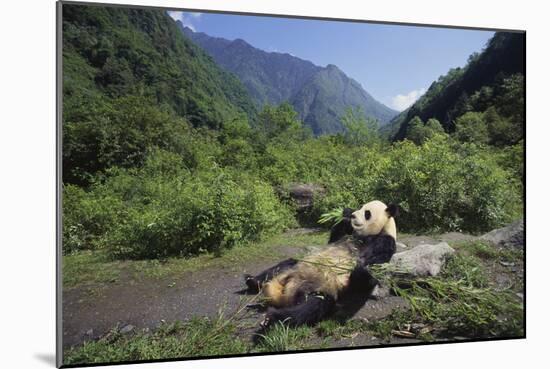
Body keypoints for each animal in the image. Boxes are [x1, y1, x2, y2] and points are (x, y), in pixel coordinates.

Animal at [244, 200, 398, 326]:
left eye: (367, 213)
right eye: (360, 207)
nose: (354, 216)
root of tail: (284, 293)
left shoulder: (384, 241)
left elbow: (372, 268)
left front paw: (362, 269)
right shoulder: (346, 236)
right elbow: (334, 237)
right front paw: (345, 215)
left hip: (319, 287)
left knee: (311, 307)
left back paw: (273, 318)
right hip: (296, 267)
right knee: (283, 265)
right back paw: (252, 281)